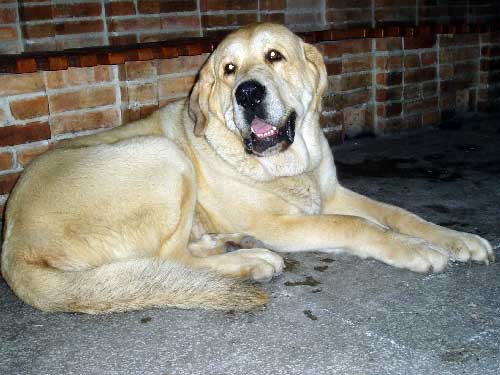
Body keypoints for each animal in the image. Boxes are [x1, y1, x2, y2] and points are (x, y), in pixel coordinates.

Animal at [0, 23, 494, 314]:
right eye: (229, 69)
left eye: (274, 56)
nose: (248, 92)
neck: (289, 167)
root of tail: (14, 247)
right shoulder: (281, 224)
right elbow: (356, 226)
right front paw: (414, 250)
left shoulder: (331, 193)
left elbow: (397, 214)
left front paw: (455, 239)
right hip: (163, 155)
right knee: (170, 259)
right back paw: (251, 259)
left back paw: (224, 242)